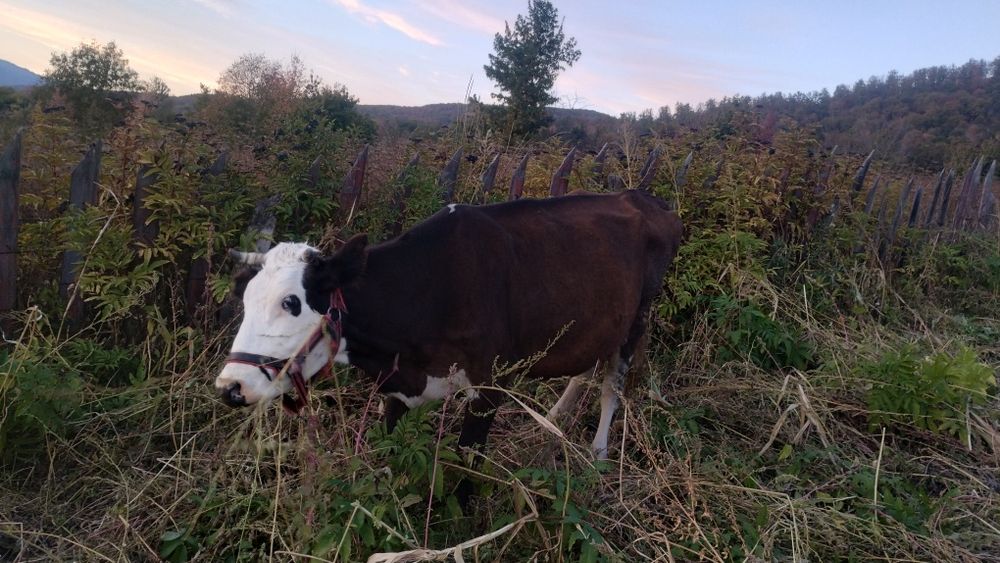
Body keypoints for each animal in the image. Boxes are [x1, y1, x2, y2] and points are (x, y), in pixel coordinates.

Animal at [215, 190, 682, 463]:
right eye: (245, 300)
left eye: (291, 302)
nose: (230, 387)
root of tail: (644, 198)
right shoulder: (397, 386)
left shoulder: (489, 389)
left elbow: (465, 472)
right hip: (597, 320)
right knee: (586, 367)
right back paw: (552, 419)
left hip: (638, 318)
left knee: (611, 386)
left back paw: (599, 453)